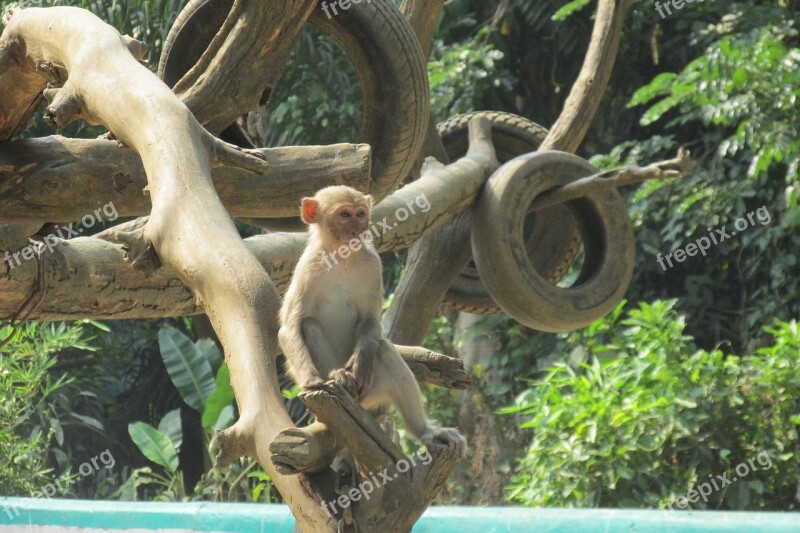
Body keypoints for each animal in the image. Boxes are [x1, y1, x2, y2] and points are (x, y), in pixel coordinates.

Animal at [278, 186, 466, 454]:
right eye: (344, 215)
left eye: (360, 214)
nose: (357, 231)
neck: (341, 258)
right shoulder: (307, 267)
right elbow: (290, 328)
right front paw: (312, 381)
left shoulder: (372, 264)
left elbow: (370, 322)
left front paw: (362, 359)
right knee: (309, 326)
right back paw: (338, 376)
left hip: (371, 393)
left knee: (385, 350)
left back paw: (424, 431)